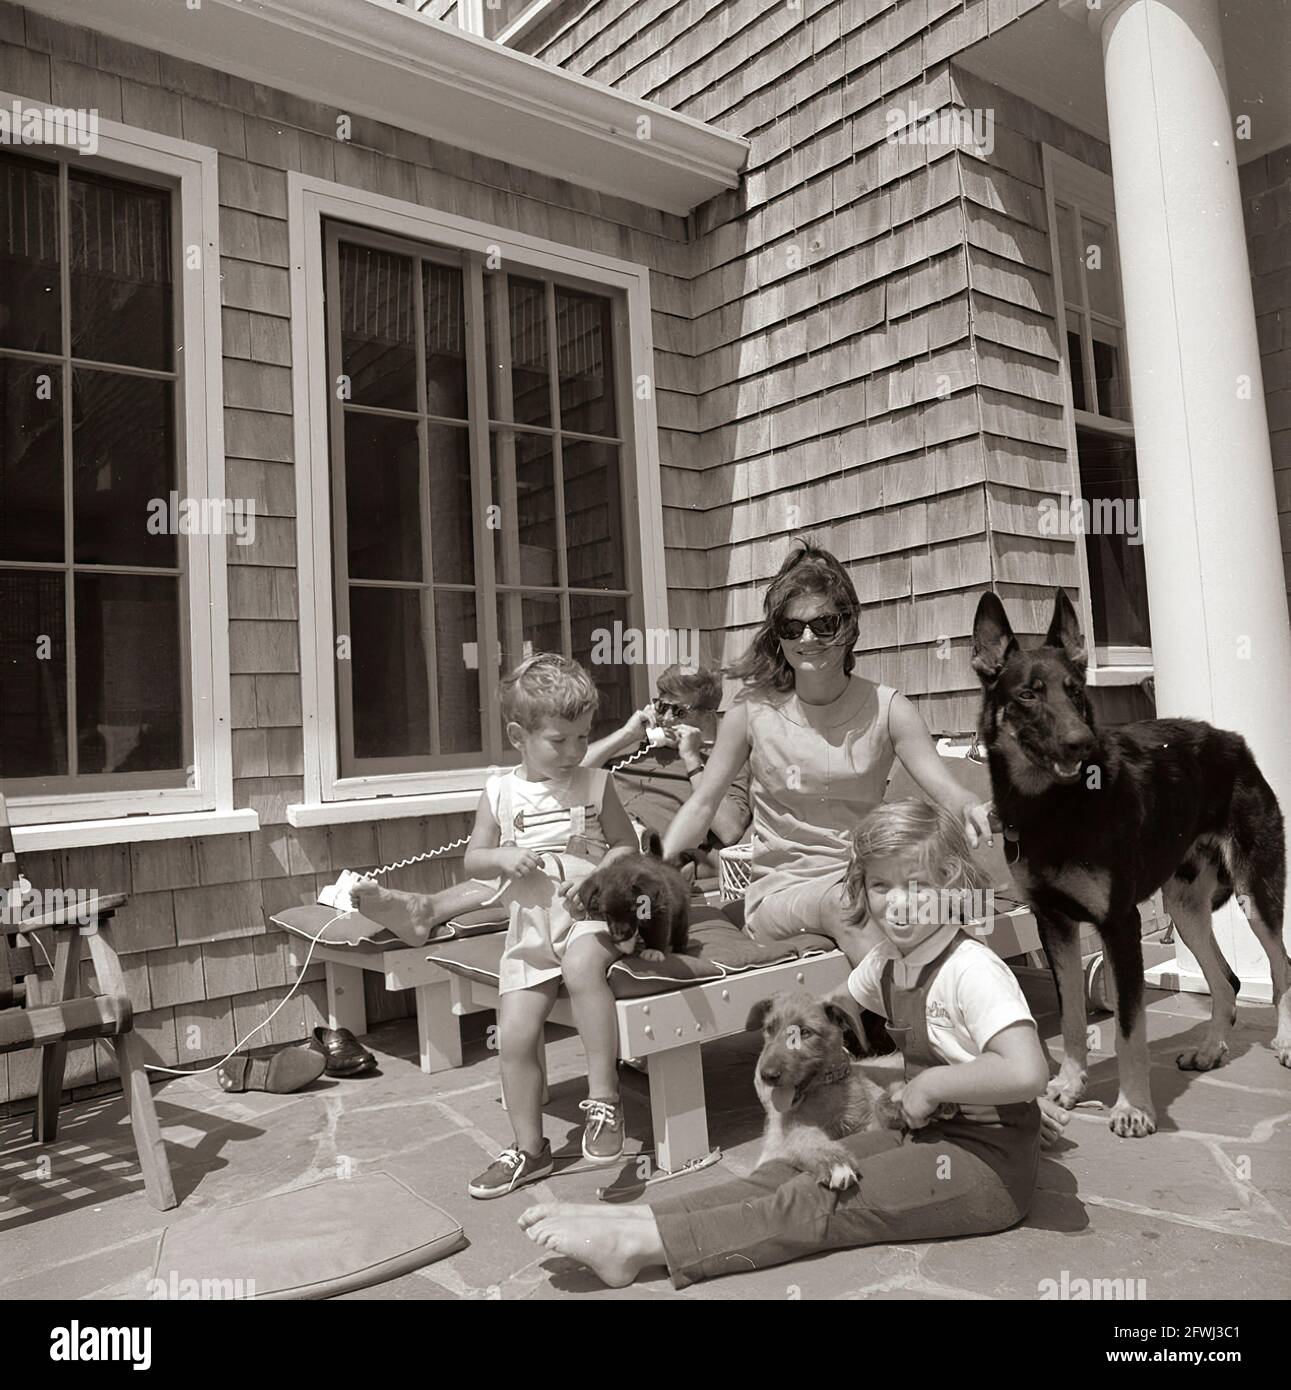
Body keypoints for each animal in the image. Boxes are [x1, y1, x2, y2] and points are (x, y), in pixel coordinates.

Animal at [578, 822, 689, 956]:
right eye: (606, 913)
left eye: (632, 911)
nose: (619, 937)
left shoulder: (660, 912)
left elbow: (657, 933)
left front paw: (654, 951)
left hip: (681, 917)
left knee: (681, 935)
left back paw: (680, 950)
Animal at [744, 995, 894, 1189]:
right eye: (769, 1029)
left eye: (805, 1032)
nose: (767, 1075)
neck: (825, 1088)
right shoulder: (784, 1134)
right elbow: (803, 1137)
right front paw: (835, 1161)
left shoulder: (868, 1119)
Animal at [972, 589, 1284, 1139]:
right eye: (1028, 694)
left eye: (1075, 691)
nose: (1081, 742)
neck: (1052, 807)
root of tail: (1233, 741)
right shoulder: (1054, 924)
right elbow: (1073, 1017)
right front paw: (1069, 1086)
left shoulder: (1120, 924)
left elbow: (1128, 1027)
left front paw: (1133, 1108)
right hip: (1185, 911)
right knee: (1227, 981)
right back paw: (1209, 1051)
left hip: (1255, 897)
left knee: (1282, 967)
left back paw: (1285, 1043)